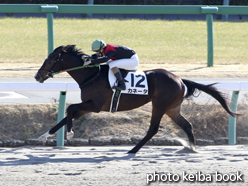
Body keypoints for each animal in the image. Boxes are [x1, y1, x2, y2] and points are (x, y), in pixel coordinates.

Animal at [35, 45, 238, 154]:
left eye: (50, 59)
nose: (37, 76)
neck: (91, 75)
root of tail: (180, 79)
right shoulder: (87, 106)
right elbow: (66, 115)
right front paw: (44, 135)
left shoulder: (95, 105)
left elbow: (69, 109)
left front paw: (69, 133)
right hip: (172, 108)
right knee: (187, 125)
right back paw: (192, 148)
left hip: (160, 105)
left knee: (153, 129)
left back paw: (133, 150)